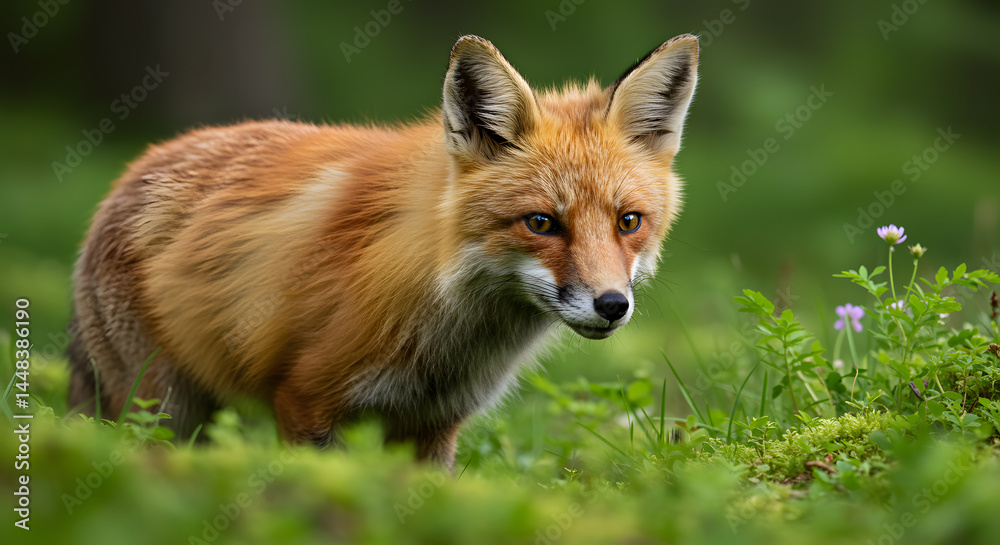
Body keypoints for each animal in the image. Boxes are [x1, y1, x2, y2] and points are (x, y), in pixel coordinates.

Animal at [69, 34, 699, 469]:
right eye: (541, 223)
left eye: (628, 222)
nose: (612, 305)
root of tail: (131, 170)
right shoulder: (304, 400)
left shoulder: (433, 426)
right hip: (164, 413)